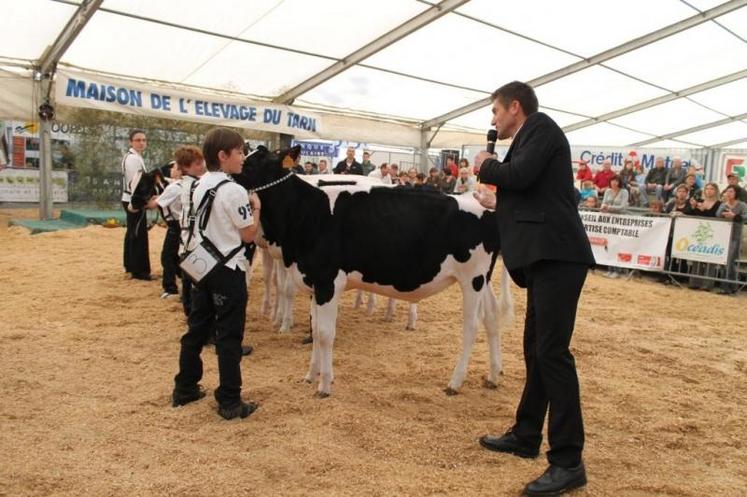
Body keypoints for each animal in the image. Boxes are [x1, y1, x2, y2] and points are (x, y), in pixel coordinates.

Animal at [238, 146, 516, 396]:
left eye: (249, 165)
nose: (229, 176)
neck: (309, 213)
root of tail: (484, 203)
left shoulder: (328, 282)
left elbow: (326, 334)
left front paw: (324, 385)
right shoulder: (315, 282)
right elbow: (316, 330)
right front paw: (310, 375)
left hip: (472, 278)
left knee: (471, 326)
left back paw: (455, 382)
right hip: (484, 279)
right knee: (491, 317)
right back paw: (493, 375)